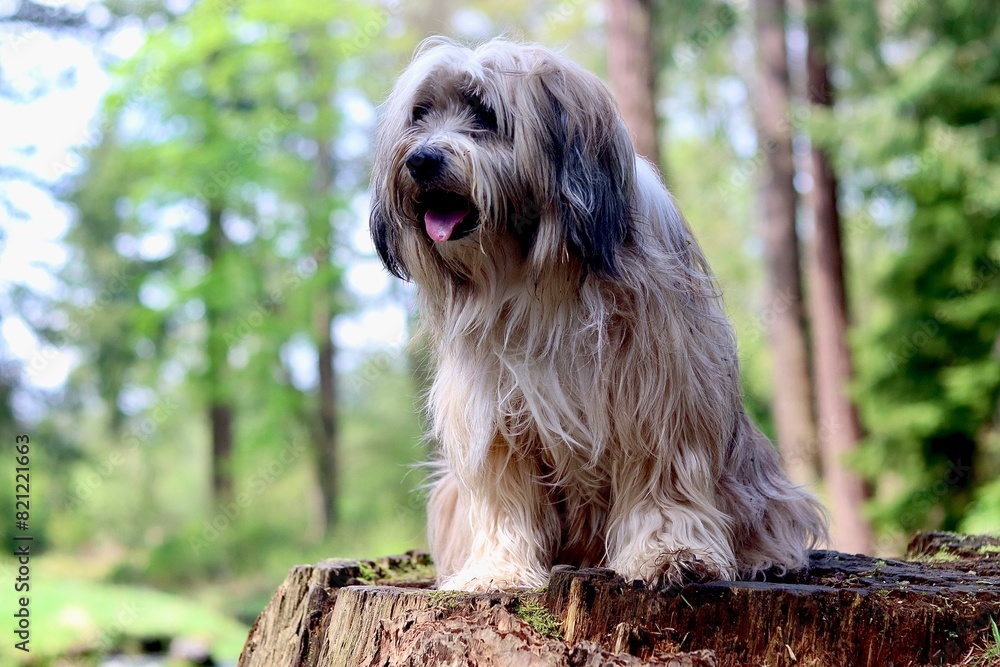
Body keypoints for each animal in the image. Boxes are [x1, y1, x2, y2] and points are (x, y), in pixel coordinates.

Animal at [369, 37, 826, 592]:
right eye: (420, 115)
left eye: (485, 113)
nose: (420, 160)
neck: (538, 275)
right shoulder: (491, 411)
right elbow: (505, 496)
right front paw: (498, 571)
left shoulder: (661, 388)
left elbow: (662, 477)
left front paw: (668, 554)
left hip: (755, 481)